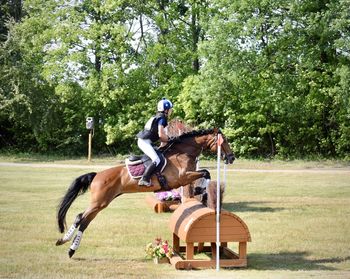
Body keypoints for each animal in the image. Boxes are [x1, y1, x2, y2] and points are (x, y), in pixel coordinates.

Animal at [56, 128, 234, 260]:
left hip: (102, 203)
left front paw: (200, 190)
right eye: (224, 140)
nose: (231, 157)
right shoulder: (183, 177)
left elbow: (205, 173)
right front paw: (199, 190)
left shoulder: (186, 177)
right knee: (81, 218)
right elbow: (205, 173)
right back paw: (66, 245)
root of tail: (97, 175)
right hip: (99, 202)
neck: (183, 152)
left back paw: (68, 246)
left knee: (83, 220)